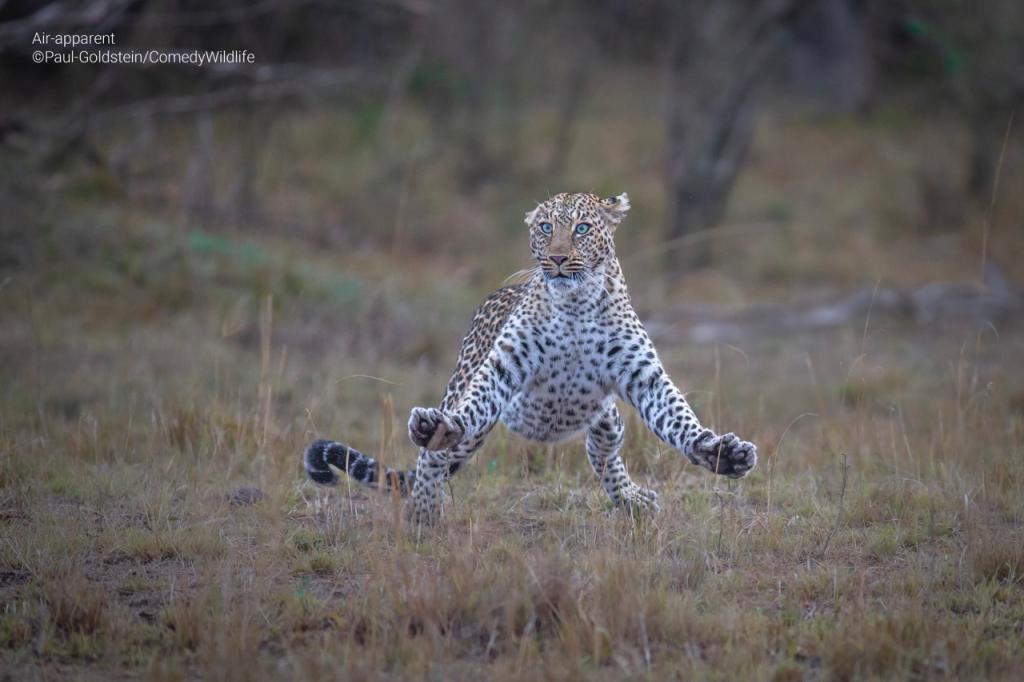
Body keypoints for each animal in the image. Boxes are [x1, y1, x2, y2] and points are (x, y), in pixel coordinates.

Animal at [299, 188, 757, 522]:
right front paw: (439, 434)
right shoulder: (502, 367)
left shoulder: (644, 376)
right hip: (470, 406)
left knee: (602, 453)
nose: (557, 257)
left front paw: (721, 453)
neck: (575, 306)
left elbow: (678, 417)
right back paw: (425, 507)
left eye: (582, 228)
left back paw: (631, 500)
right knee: (435, 455)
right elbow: (467, 412)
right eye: (545, 227)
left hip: (607, 419)